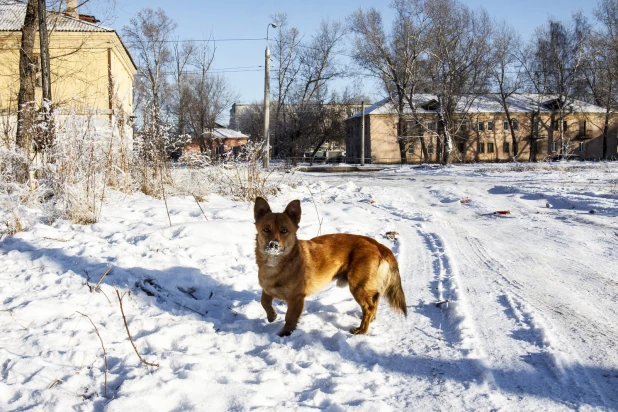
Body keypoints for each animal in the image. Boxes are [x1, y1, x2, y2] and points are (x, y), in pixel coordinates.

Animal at [253, 198, 406, 336]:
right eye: (266, 229)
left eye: (284, 231)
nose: (273, 245)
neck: (277, 264)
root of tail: (378, 245)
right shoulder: (267, 289)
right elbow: (264, 301)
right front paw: (271, 315)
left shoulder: (296, 299)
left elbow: (290, 318)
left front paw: (285, 333)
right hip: (368, 287)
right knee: (374, 303)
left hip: (359, 287)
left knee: (368, 307)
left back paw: (361, 330)